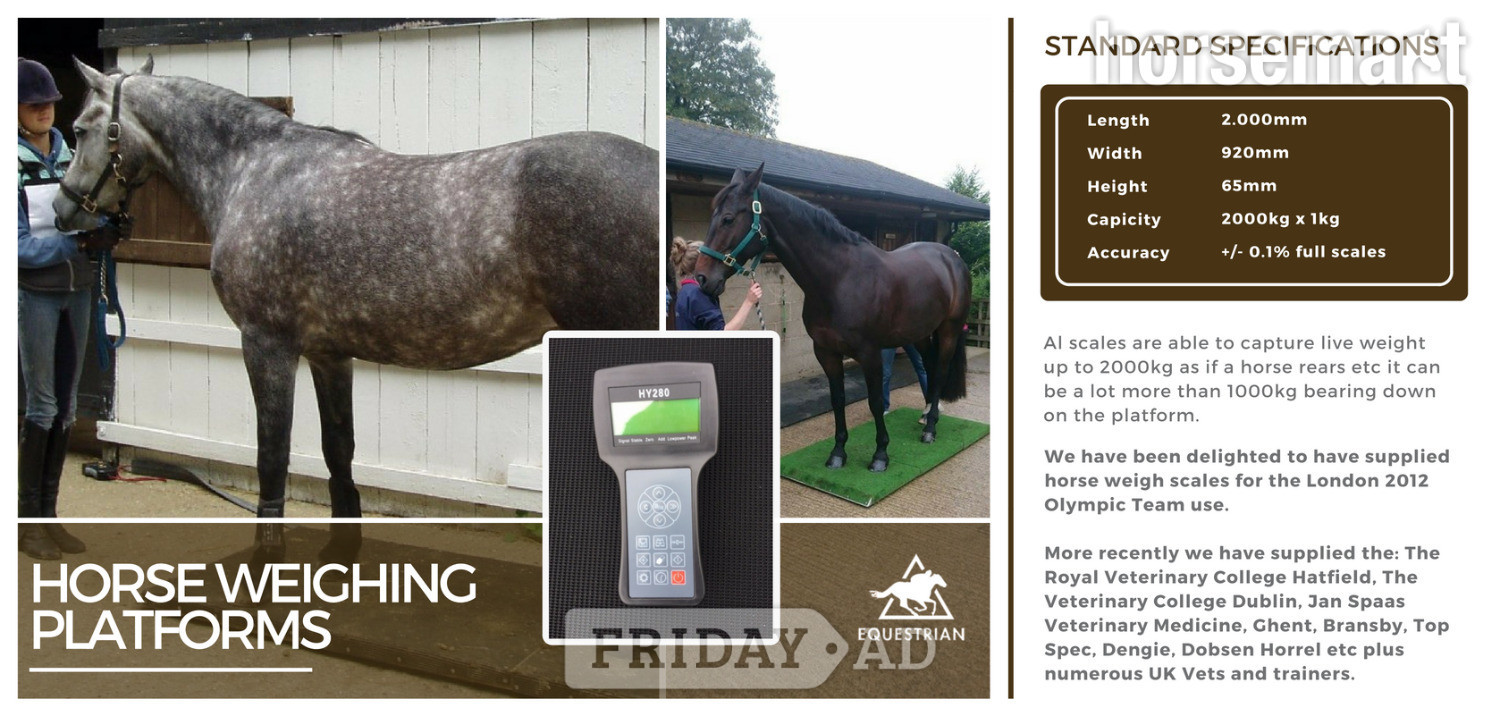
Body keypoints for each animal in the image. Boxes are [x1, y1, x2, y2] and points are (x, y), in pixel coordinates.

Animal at [54, 58, 658, 560]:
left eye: (80, 128)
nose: (62, 210)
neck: (254, 170)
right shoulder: (328, 354)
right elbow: (337, 450)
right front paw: (341, 557)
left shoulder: (267, 344)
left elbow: (272, 455)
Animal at [695, 164, 970, 473]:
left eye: (728, 219)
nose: (702, 278)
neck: (839, 279)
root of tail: (952, 256)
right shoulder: (825, 351)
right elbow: (837, 400)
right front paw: (838, 452)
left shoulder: (870, 353)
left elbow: (875, 402)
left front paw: (880, 455)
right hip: (920, 333)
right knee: (930, 368)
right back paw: (926, 417)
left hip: (949, 330)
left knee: (940, 371)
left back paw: (930, 429)